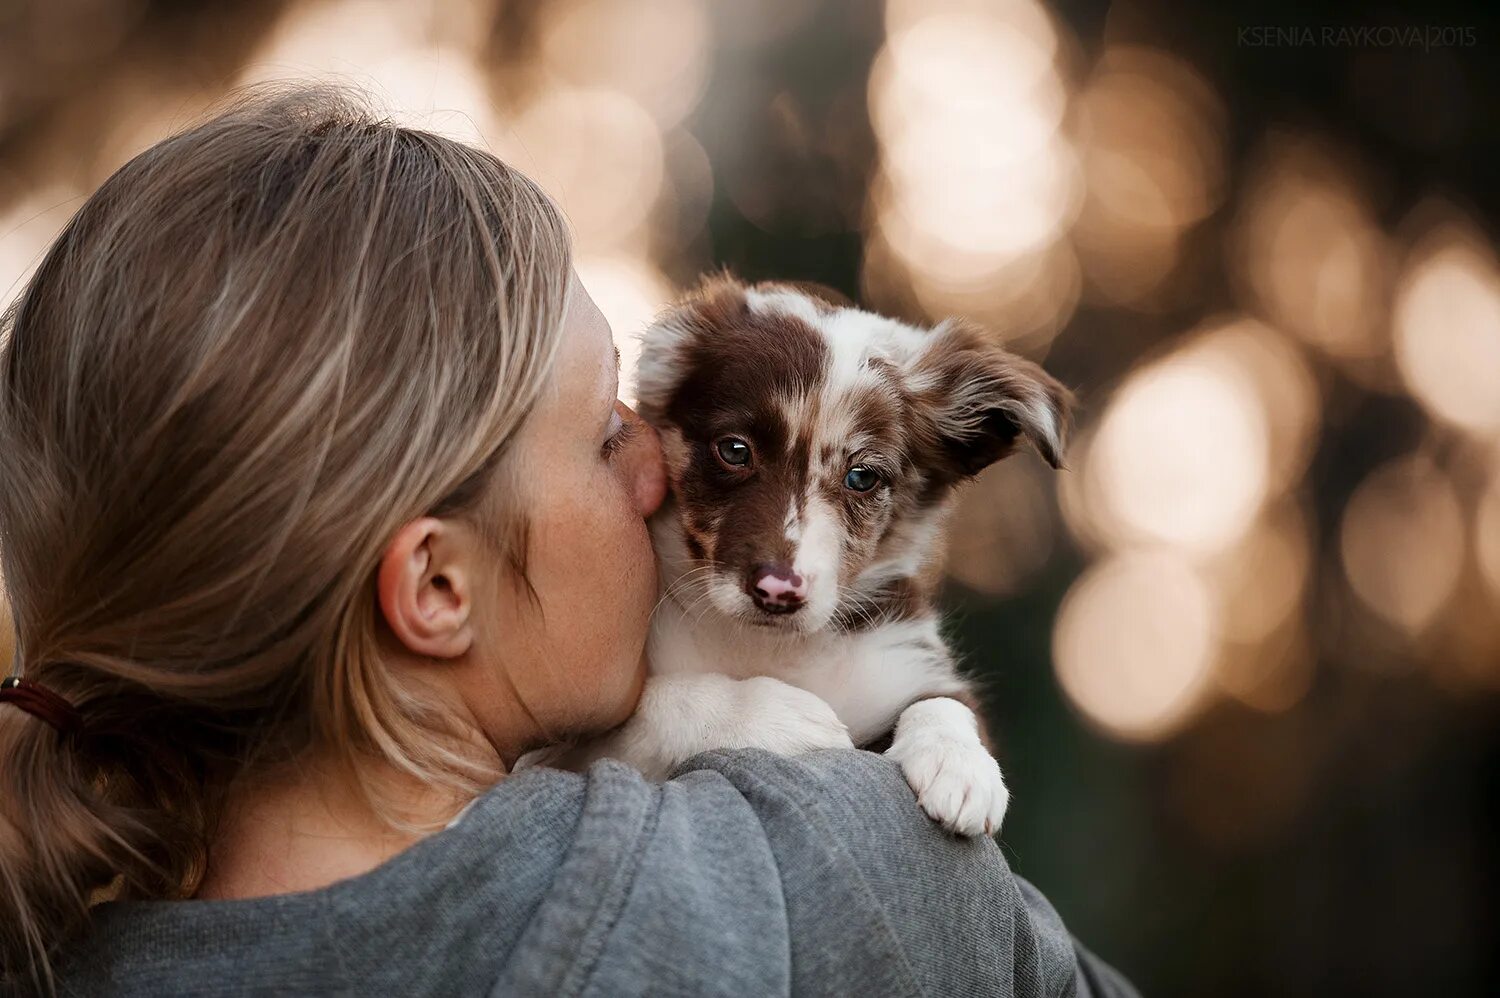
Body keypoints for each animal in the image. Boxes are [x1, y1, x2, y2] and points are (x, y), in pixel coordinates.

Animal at [552, 274, 1068, 834]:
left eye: (862, 477)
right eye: (734, 450)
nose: (778, 591)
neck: (768, 646)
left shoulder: (901, 655)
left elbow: (945, 702)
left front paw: (959, 764)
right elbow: (653, 703)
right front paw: (778, 718)